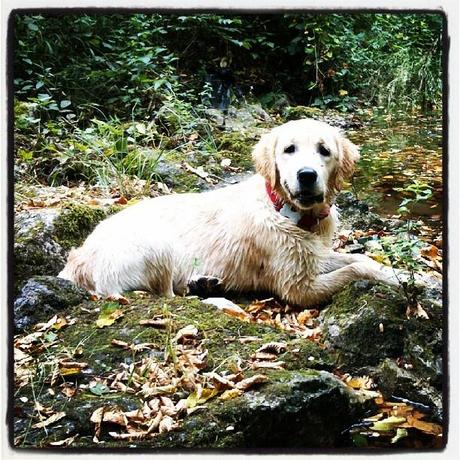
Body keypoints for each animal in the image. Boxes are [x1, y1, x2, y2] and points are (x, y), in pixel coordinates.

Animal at [59, 117, 400, 306]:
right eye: (289, 149)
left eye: (324, 150)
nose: (306, 175)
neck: (287, 213)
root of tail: (77, 261)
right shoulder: (297, 287)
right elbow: (356, 270)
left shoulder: (314, 255)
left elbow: (361, 259)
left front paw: (404, 275)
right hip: (157, 246)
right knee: (168, 294)